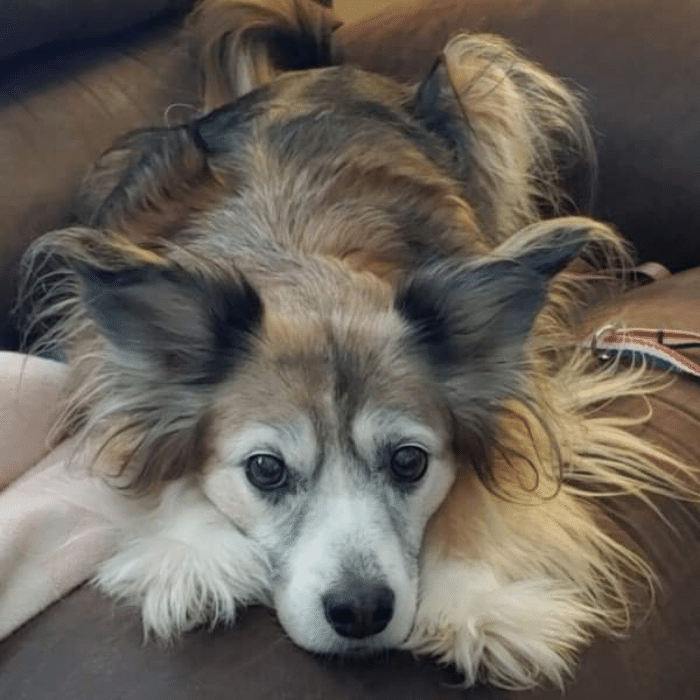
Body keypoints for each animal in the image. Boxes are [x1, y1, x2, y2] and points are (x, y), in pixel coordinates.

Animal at [17, 0, 700, 688]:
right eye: (265, 469)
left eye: (409, 462)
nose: (362, 611)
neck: (306, 264)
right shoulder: (101, 376)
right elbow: (150, 460)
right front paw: (193, 553)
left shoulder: (523, 392)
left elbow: (483, 486)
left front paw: (477, 599)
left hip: (478, 80)